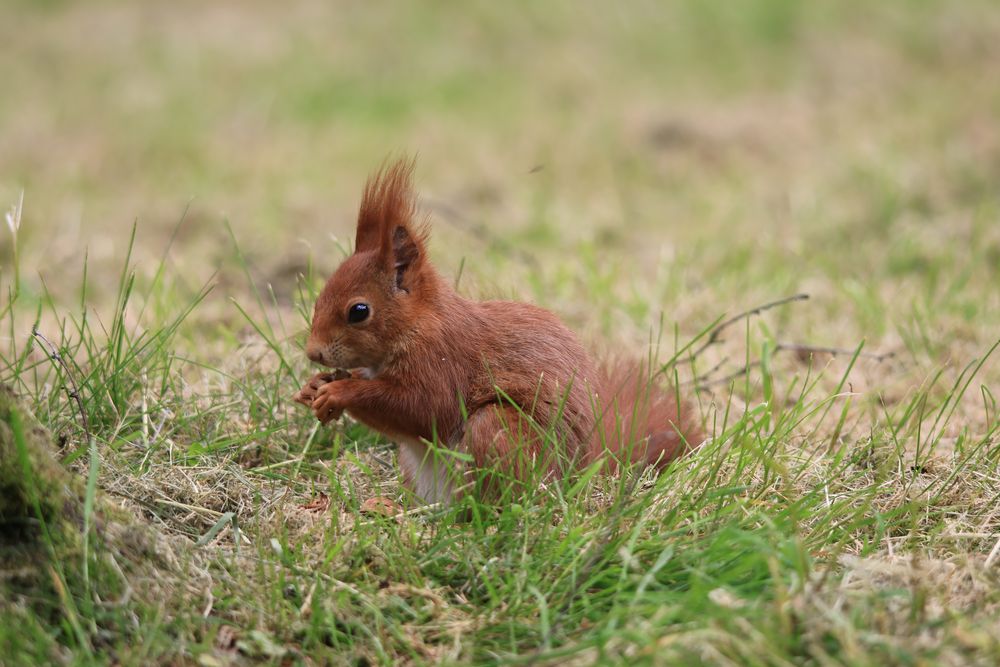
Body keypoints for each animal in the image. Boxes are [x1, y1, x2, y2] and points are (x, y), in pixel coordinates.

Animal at [292, 160, 704, 506]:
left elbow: (422, 407)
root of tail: (578, 477)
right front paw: (315, 387)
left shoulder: (443, 361)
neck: (418, 324)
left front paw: (341, 391)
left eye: (359, 311)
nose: (314, 353)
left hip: (500, 433)